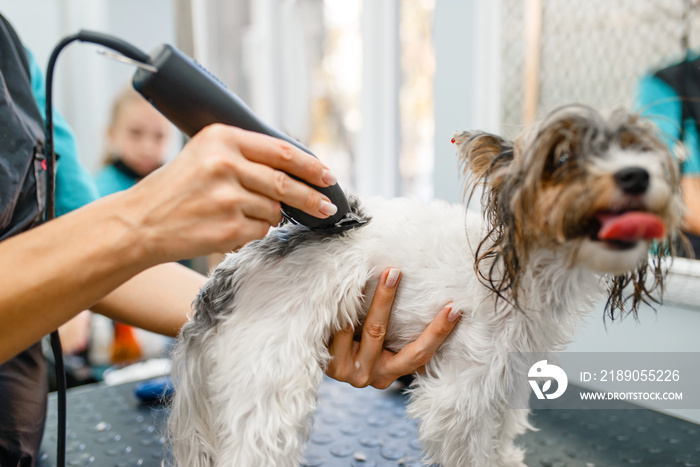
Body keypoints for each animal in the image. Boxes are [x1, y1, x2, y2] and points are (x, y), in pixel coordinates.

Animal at [167, 106, 680, 467]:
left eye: (638, 149)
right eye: (564, 158)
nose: (636, 175)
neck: (520, 265)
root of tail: (227, 276)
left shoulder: (510, 374)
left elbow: (502, 436)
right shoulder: (461, 394)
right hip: (269, 378)